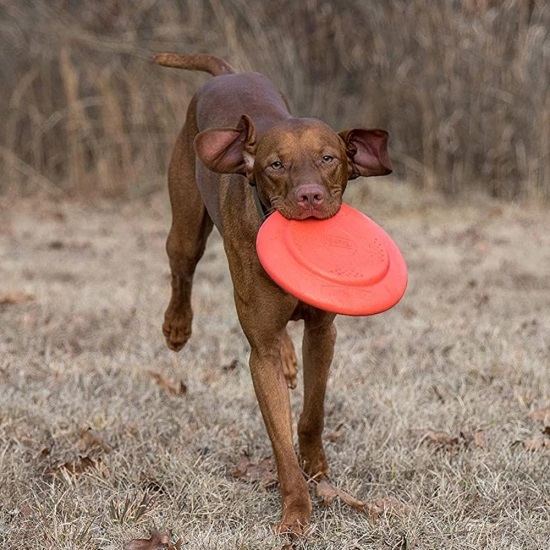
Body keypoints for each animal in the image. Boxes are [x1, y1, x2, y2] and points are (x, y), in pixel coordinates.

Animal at [154, 51, 392, 536]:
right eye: (275, 165)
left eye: (328, 158)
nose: (310, 197)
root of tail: (227, 73)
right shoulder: (258, 351)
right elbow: (279, 440)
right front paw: (297, 510)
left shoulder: (322, 332)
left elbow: (313, 411)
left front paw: (317, 467)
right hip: (186, 225)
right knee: (181, 268)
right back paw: (176, 327)